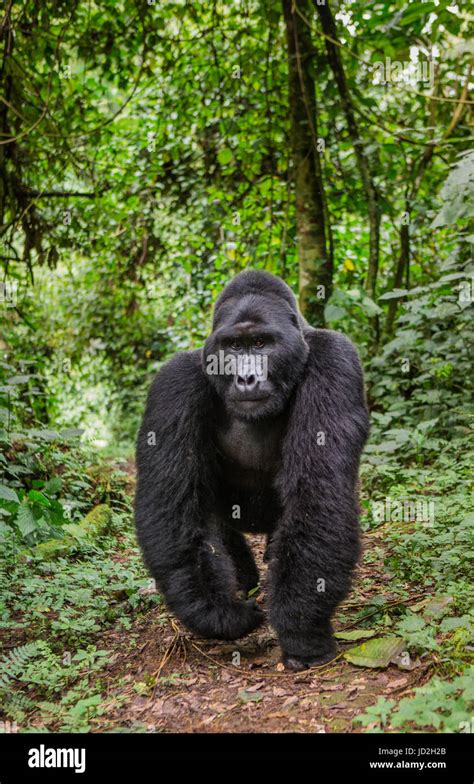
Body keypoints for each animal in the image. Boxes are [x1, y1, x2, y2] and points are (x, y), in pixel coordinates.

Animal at [135, 270, 368, 668]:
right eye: (233, 347)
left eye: (260, 343)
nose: (246, 379)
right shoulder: (174, 382)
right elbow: (171, 505)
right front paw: (218, 614)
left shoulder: (334, 359)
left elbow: (318, 490)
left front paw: (300, 628)